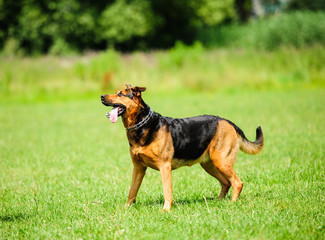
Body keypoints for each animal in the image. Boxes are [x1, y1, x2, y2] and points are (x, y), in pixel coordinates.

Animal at [101, 85, 264, 212]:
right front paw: (126, 208)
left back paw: (231, 203)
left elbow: (167, 191)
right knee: (226, 182)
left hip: (221, 161)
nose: (102, 96)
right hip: (210, 164)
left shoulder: (164, 167)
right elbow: (132, 191)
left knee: (237, 183)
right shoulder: (138, 168)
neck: (142, 124)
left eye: (120, 94)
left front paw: (166, 210)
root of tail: (229, 122)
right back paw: (218, 202)